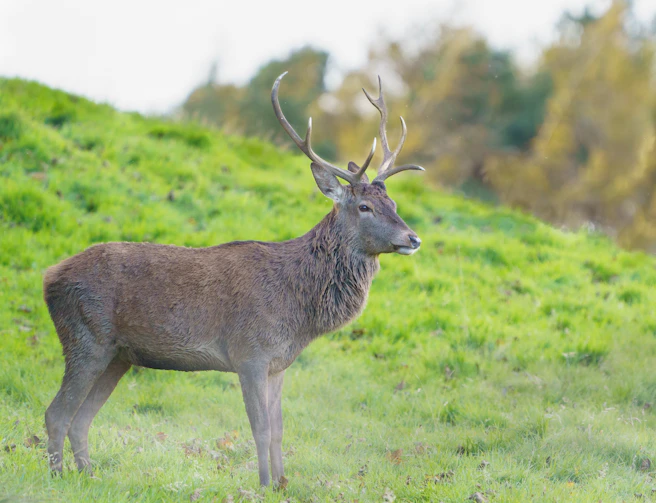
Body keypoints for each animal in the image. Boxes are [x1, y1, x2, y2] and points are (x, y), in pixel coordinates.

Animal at [43, 72, 424, 487]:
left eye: (394, 204)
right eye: (364, 206)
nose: (413, 238)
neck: (300, 313)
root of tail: (48, 277)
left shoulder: (278, 364)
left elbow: (279, 429)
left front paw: (282, 485)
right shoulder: (249, 353)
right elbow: (259, 428)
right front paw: (263, 484)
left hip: (118, 355)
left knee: (81, 419)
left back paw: (90, 477)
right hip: (86, 338)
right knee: (56, 413)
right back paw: (58, 478)